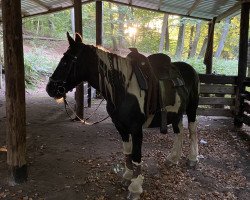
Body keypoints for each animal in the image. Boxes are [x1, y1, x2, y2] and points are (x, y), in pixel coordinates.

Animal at [46, 32, 199, 198]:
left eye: (66, 62)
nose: (50, 88)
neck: (122, 88)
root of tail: (190, 69)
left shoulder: (136, 128)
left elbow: (136, 155)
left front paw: (135, 187)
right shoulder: (120, 126)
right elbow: (127, 152)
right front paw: (127, 177)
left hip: (192, 109)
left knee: (192, 132)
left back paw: (193, 159)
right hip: (177, 114)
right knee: (179, 133)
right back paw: (173, 158)